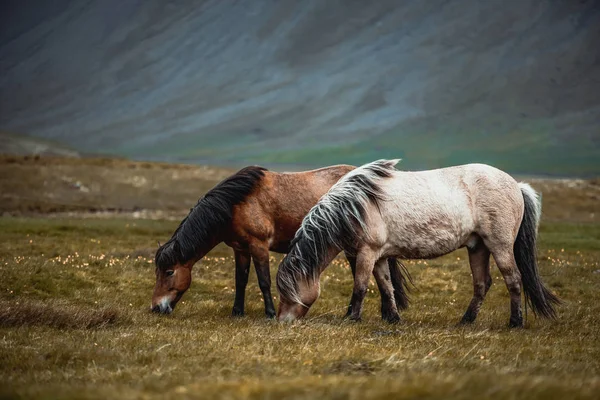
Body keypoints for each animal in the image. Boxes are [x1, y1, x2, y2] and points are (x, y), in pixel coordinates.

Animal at [152, 163, 410, 318]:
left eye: (169, 272)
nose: (156, 308)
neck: (235, 204)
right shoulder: (240, 249)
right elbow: (240, 281)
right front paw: (237, 312)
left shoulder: (258, 246)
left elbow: (263, 281)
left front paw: (268, 312)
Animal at [276, 158, 556, 326]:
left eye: (289, 289)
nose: (281, 320)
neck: (354, 206)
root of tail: (516, 185)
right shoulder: (378, 256)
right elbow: (386, 287)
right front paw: (393, 318)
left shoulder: (367, 254)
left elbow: (360, 287)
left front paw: (353, 318)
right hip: (478, 247)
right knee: (482, 284)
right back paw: (466, 320)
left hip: (500, 246)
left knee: (513, 279)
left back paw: (515, 322)